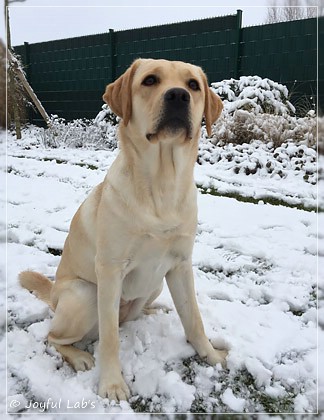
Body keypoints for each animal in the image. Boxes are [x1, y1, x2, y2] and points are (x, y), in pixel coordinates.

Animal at [19, 58, 225, 400]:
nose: (178, 96)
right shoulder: (110, 269)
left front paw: (211, 355)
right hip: (85, 294)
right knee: (54, 336)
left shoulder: (181, 265)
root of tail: (53, 295)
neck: (162, 186)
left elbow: (194, 319)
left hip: (155, 284)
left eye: (193, 85)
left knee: (131, 315)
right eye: (150, 80)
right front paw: (112, 384)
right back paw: (79, 356)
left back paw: (152, 312)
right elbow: (110, 338)